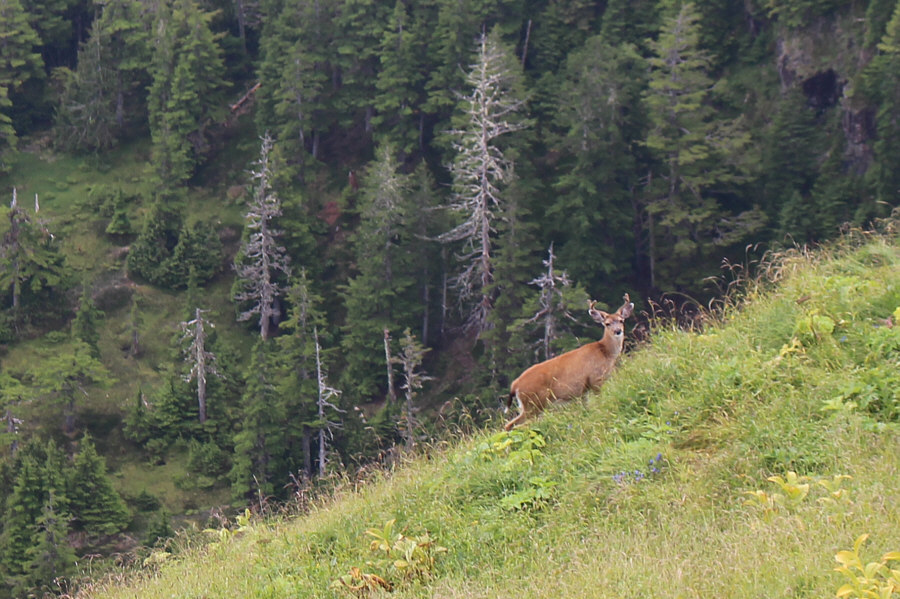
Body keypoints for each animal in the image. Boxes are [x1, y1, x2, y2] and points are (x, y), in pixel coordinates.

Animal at [504, 293, 634, 431]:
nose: (618, 331)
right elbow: (599, 401)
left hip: (529, 405)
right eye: (607, 323)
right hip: (534, 402)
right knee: (514, 425)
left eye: (621, 320)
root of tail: (515, 385)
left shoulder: (584, 390)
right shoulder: (596, 379)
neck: (605, 352)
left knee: (510, 425)